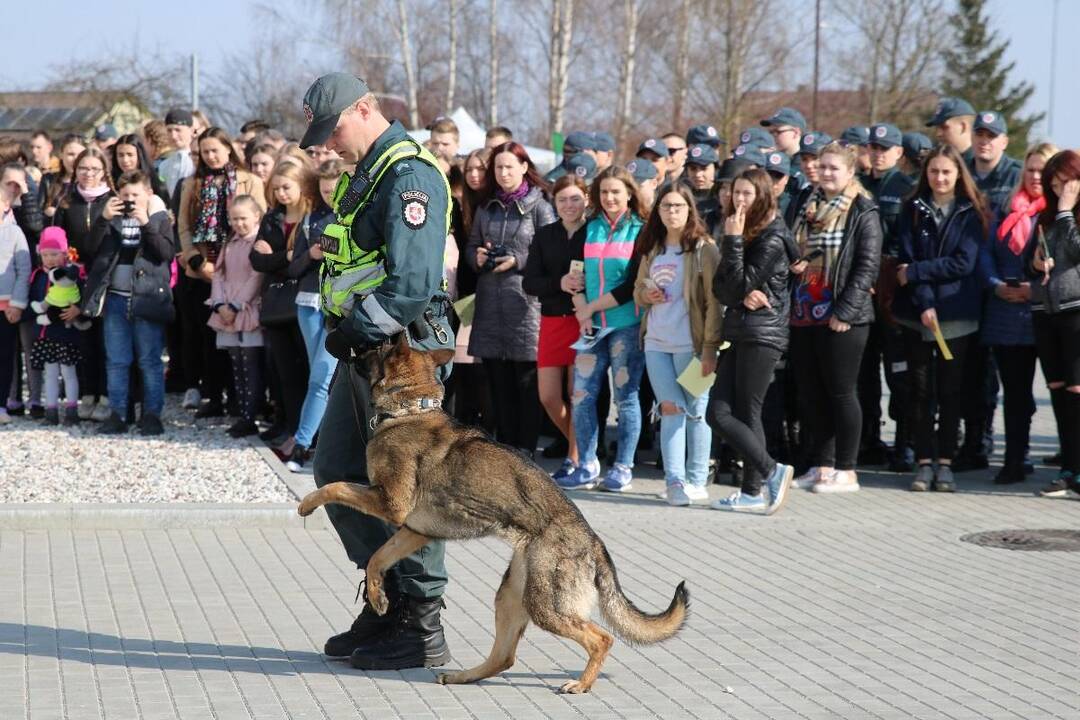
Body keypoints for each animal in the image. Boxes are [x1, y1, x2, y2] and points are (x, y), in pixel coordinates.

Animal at [298, 334, 682, 695]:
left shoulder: (391, 504)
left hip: (545, 606)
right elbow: (378, 558)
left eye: (377, 346)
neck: (412, 409)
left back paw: (581, 684)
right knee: (504, 656)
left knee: (601, 639)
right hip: (511, 596)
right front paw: (378, 596)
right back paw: (461, 676)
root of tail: (594, 542)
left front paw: (306, 503)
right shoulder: (413, 530)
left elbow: (335, 486)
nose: (348, 349)